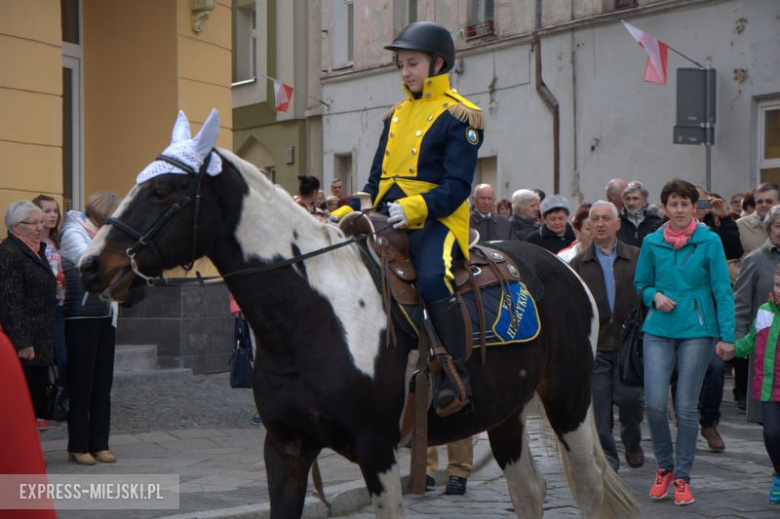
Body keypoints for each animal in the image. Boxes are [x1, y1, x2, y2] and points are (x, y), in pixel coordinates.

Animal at [80, 110, 640, 519]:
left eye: (162, 190)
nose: (91, 265)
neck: (312, 315)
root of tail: (563, 263)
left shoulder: (380, 453)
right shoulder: (285, 449)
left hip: (569, 401)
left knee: (589, 490)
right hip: (505, 410)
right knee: (528, 491)